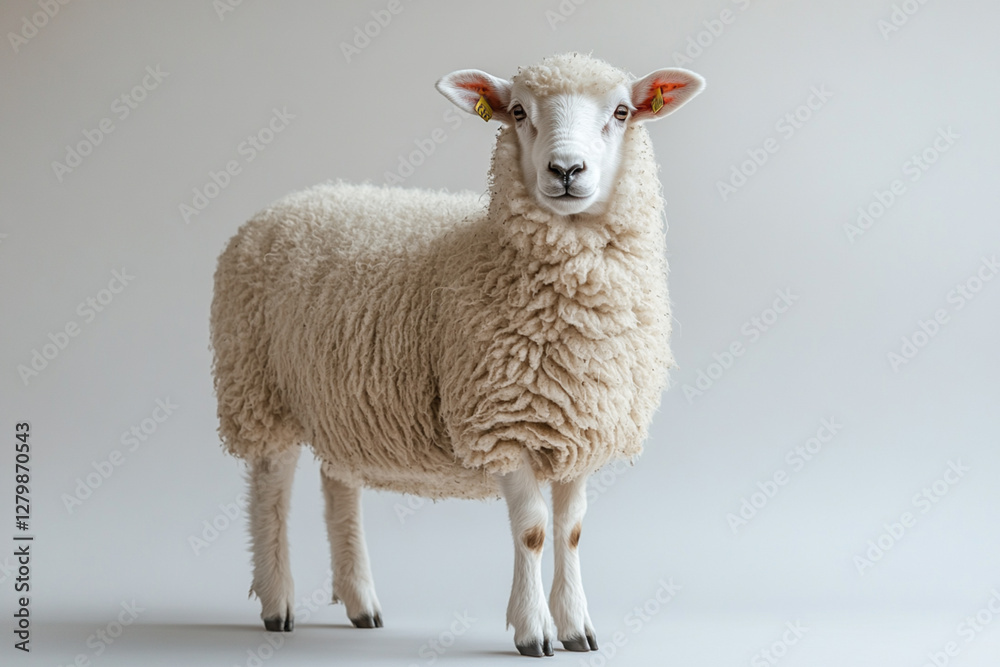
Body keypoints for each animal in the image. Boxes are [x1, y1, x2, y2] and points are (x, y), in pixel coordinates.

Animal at [210, 52, 704, 657]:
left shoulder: (579, 423)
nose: (566, 170)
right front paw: (533, 630)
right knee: (270, 492)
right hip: (258, 388)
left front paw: (576, 626)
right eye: (519, 112)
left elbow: (571, 530)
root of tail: (294, 202)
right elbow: (533, 531)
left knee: (338, 489)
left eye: (621, 112)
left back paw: (359, 601)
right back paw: (277, 600)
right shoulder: (501, 422)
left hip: (340, 401)